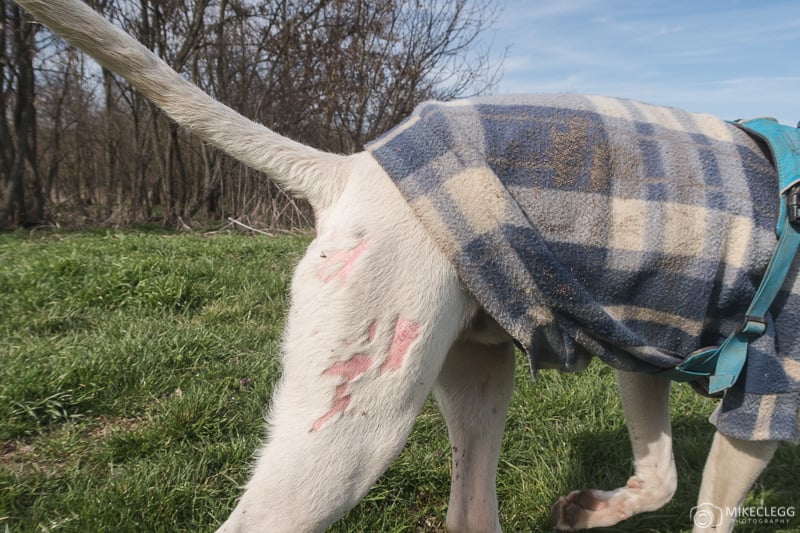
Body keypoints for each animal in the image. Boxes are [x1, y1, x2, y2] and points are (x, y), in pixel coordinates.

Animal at [17, 1, 792, 532]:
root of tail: (349, 169)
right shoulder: (764, 395)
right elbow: (706, 504)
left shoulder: (648, 354)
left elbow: (661, 477)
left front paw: (586, 509)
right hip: (357, 423)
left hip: (473, 372)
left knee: (469, 513)